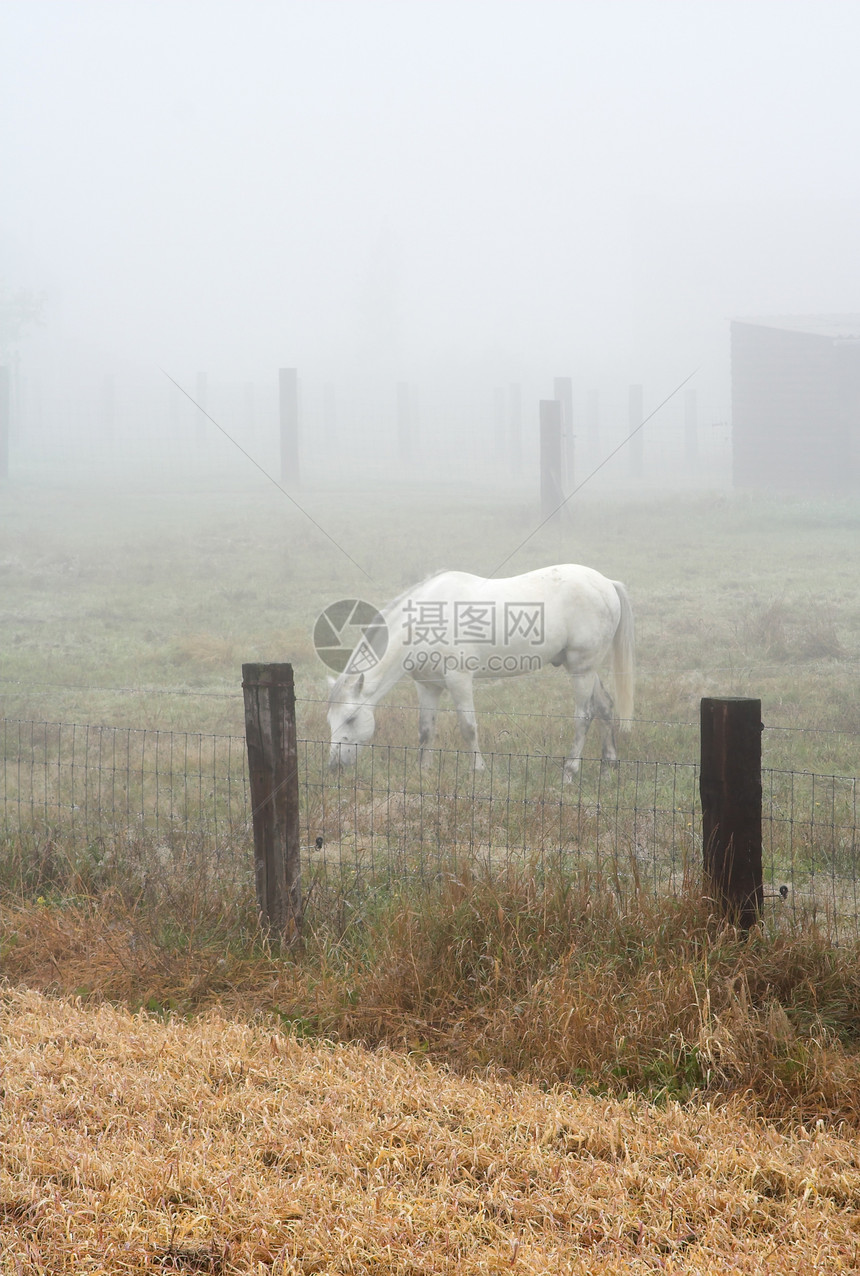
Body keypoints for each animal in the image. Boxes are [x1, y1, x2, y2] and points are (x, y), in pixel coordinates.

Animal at [325, 566, 632, 775]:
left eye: (351, 719)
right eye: (330, 720)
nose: (334, 764)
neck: (425, 622)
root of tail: (606, 583)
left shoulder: (459, 679)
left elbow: (468, 726)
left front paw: (479, 769)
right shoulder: (428, 686)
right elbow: (426, 730)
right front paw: (424, 771)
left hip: (582, 669)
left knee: (584, 716)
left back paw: (570, 771)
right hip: (585, 668)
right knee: (604, 707)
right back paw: (609, 765)